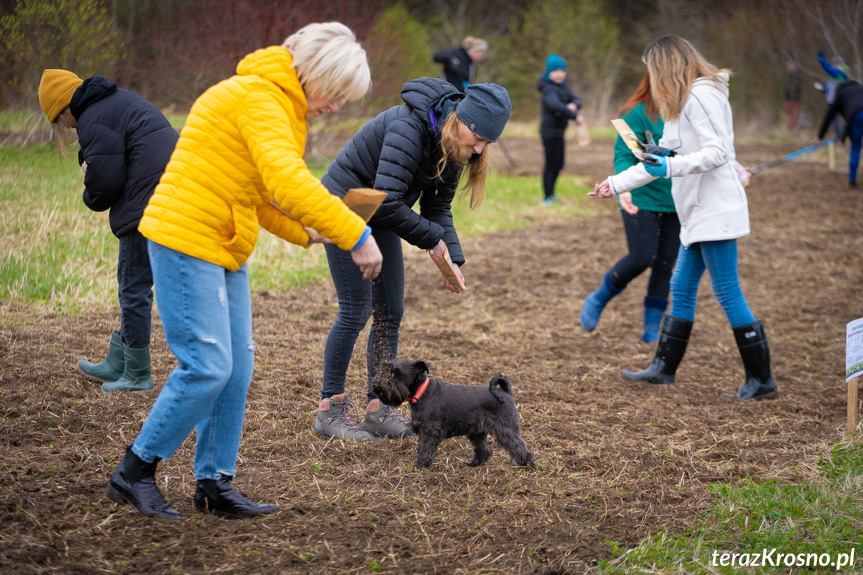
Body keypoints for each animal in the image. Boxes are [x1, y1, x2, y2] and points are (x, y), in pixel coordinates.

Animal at [372, 358, 532, 470]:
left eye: (396, 372)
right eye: (383, 370)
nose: (377, 384)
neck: (422, 391)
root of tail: (505, 392)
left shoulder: (429, 432)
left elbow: (424, 449)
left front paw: (419, 467)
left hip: (506, 429)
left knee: (520, 447)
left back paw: (528, 467)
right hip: (477, 432)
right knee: (485, 450)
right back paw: (474, 464)